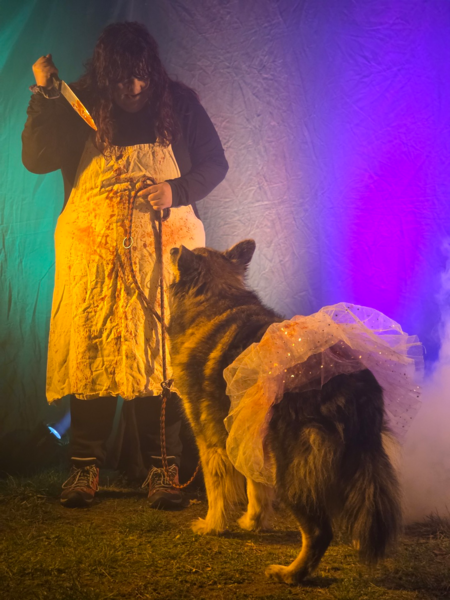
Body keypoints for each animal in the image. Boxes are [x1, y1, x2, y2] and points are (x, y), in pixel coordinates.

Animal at [167, 239, 401, 584]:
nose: (171, 249)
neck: (215, 297)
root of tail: (349, 378)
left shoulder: (209, 438)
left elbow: (216, 487)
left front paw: (212, 525)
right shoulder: (245, 434)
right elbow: (255, 487)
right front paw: (253, 521)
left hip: (291, 467)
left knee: (319, 532)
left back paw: (292, 573)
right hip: (355, 457)